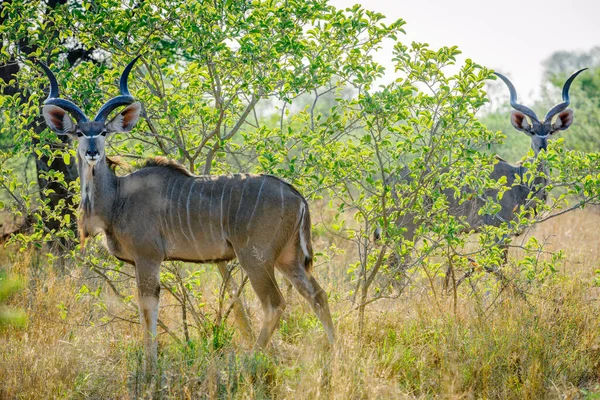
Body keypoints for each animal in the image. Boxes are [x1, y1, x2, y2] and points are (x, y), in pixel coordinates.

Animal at [39, 57, 336, 368]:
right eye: (79, 133)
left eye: (104, 132)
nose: (93, 152)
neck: (118, 197)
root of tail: (297, 196)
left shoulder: (148, 258)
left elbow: (149, 310)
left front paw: (150, 365)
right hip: (288, 259)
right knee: (317, 294)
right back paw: (334, 352)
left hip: (257, 258)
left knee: (275, 303)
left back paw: (251, 359)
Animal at [382, 69, 584, 278]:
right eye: (532, 131)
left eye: (550, 131)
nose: (542, 147)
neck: (519, 181)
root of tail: (390, 180)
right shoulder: (498, 231)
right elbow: (498, 269)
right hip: (407, 227)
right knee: (393, 265)